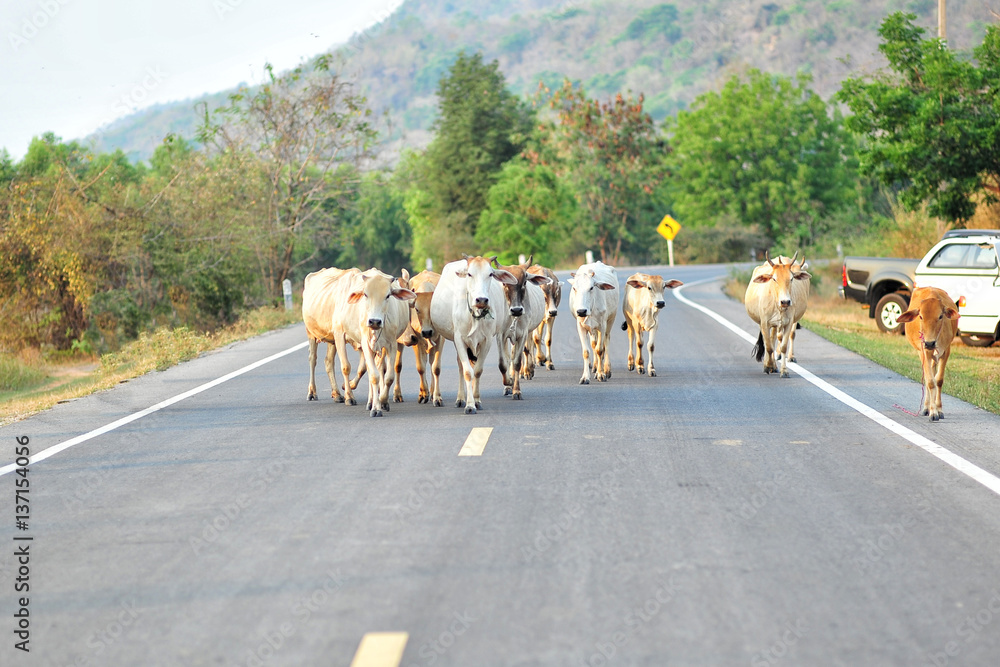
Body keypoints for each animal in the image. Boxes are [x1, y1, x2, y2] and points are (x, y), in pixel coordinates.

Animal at [392, 269, 443, 406]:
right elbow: (420, 367)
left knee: (431, 364)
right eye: (417, 309)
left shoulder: (440, 339)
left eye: (432, 309)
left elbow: (436, 368)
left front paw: (437, 397)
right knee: (398, 366)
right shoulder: (416, 339)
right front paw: (423, 394)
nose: (427, 332)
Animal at [430, 255, 517, 414]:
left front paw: (476, 400)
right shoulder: (459, 339)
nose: (481, 300)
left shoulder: (486, 341)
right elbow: (467, 373)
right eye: (469, 274)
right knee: (458, 366)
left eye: (490, 274)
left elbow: (477, 371)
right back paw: (456, 399)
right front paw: (470, 405)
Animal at [492, 256, 551, 400]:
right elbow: (503, 363)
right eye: (504, 284)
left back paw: (528, 370)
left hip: (528, 332)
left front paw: (516, 390)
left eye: (524, 282)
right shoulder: (501, 336)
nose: (517, 310)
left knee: (527, 349)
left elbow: (517, 362)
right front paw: (508, 383)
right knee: (510, 357)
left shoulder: (522, 334)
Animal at [895, 286, 960, 421]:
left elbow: (938, 380)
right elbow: (930, 382)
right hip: (922, 353)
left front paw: (939, 410)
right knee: (927, 378)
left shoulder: (946, 352)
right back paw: (926, 407)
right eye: (920, 316)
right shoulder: (924, 352)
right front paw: (933, 412)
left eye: (940, 316)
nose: (930, 343)